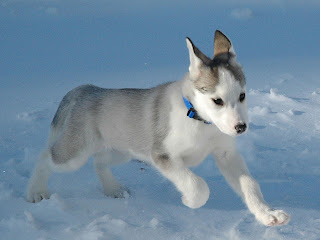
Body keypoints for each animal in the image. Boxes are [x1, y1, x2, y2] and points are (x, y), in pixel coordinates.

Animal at [26, 29, 290, 226]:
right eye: (218, 101)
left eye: (243, 96)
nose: (240, 127)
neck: (199, 121)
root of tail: (86, 89)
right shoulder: (162, 155)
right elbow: (198, 185)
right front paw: (189, 201)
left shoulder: (226, 154)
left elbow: (250, 185)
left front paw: (268, 214)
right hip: (75, 153)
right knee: (46, 156)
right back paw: (36, 192)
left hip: (122, 149)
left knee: (99, 161)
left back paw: (113, 190)